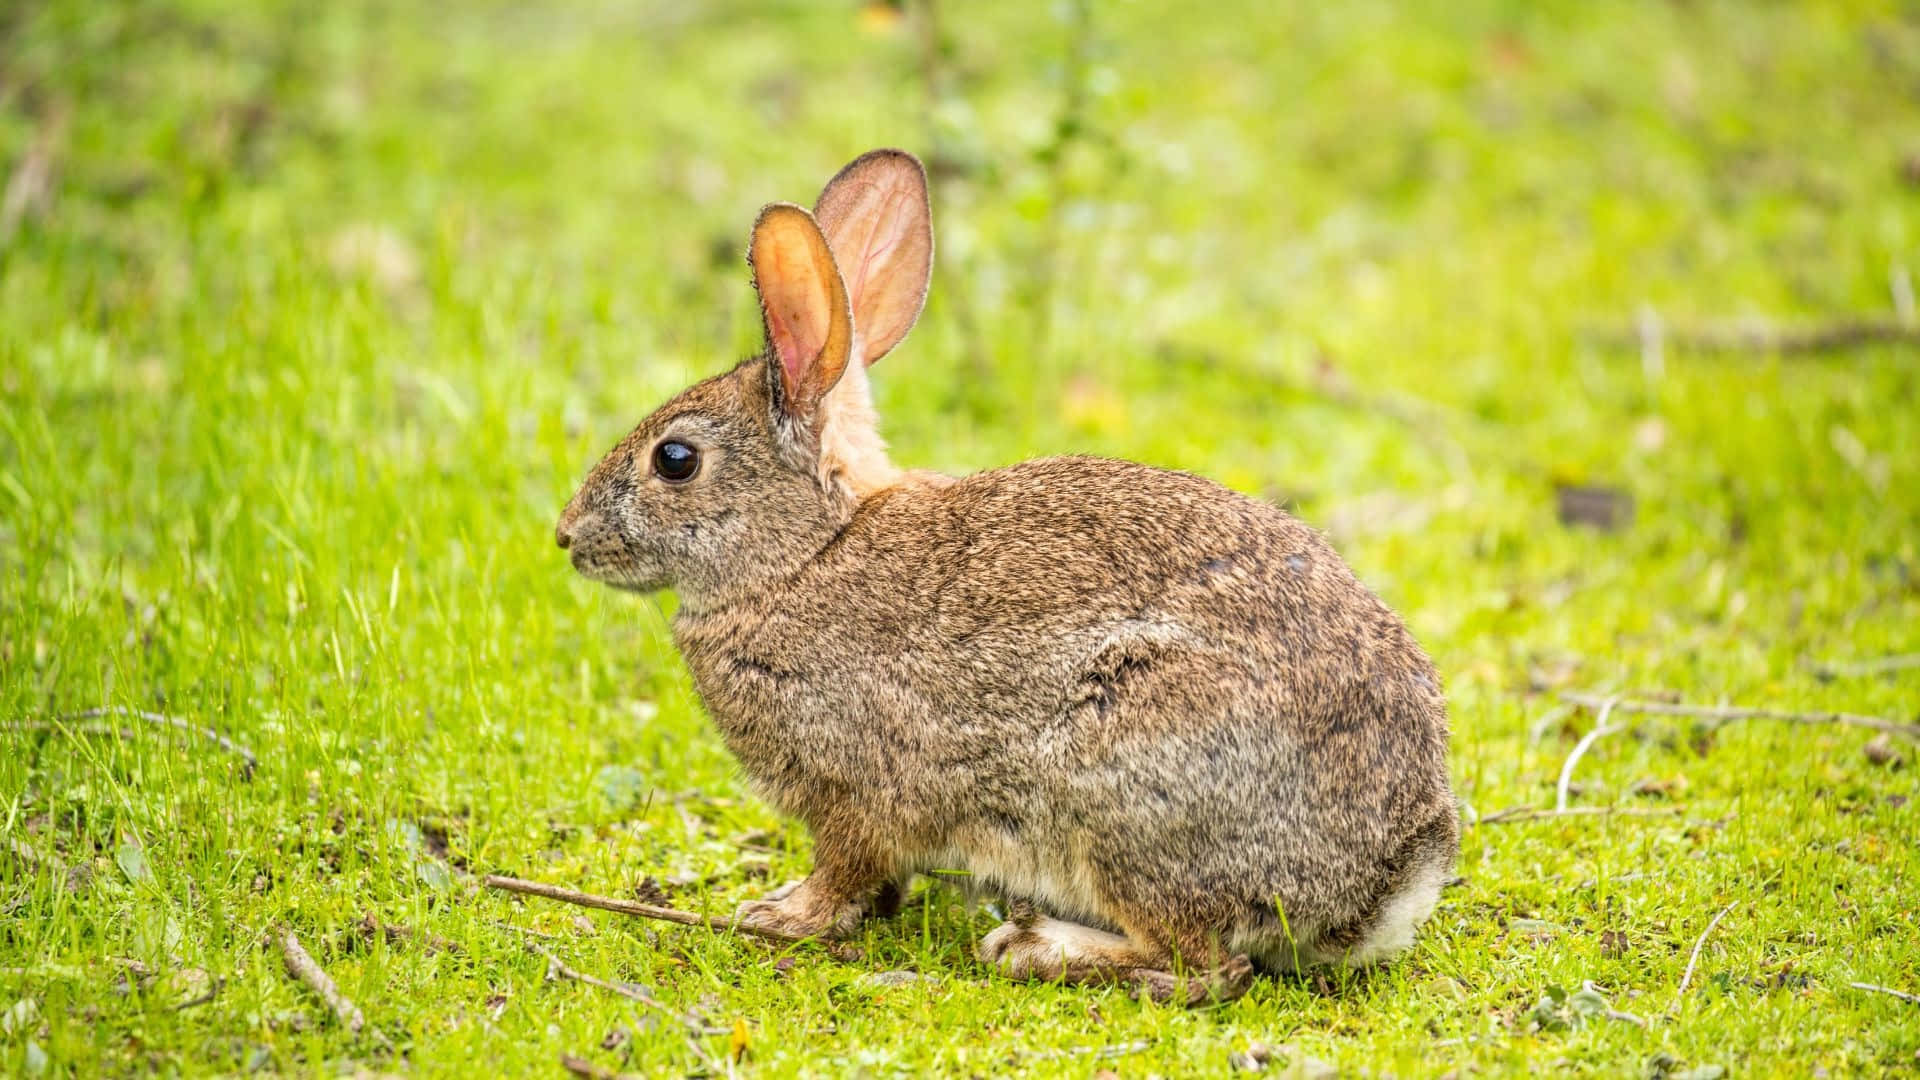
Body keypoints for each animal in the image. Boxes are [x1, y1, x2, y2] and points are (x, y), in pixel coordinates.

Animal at [555, 149, 1457, 997]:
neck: (806, 552)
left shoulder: (854, 792)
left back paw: (1037, 947)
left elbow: (845, 868)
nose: (567, 536)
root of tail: (1388, 879)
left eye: (674, 460)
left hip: (1121, 792)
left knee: (1205, 966)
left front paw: (781, 916)